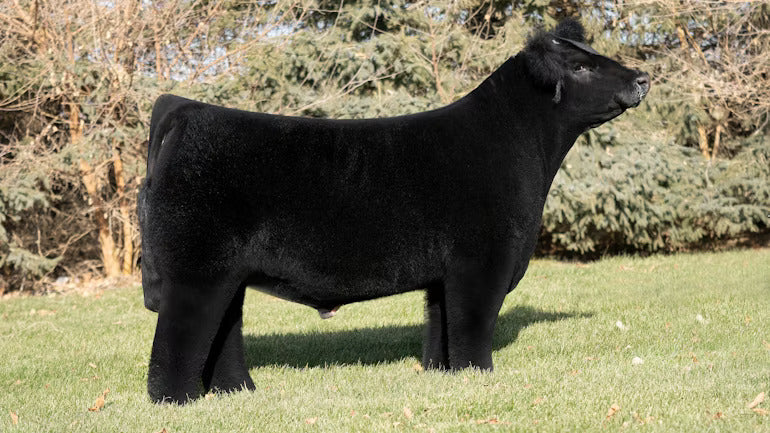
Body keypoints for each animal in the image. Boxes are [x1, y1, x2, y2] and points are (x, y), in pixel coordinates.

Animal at [139, 18, 650, 403]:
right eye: (581, 66)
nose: (642, 77)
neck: (519, 146)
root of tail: (186, 109)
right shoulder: (483, 263)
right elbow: (473, 326)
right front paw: (480, 377)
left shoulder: (446, 273)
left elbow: (441, 327)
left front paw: (445, 376)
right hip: (197, 269)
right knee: (180, 336)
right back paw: (177, 402)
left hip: (227, 272)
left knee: (223, 330)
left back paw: (239, 393)